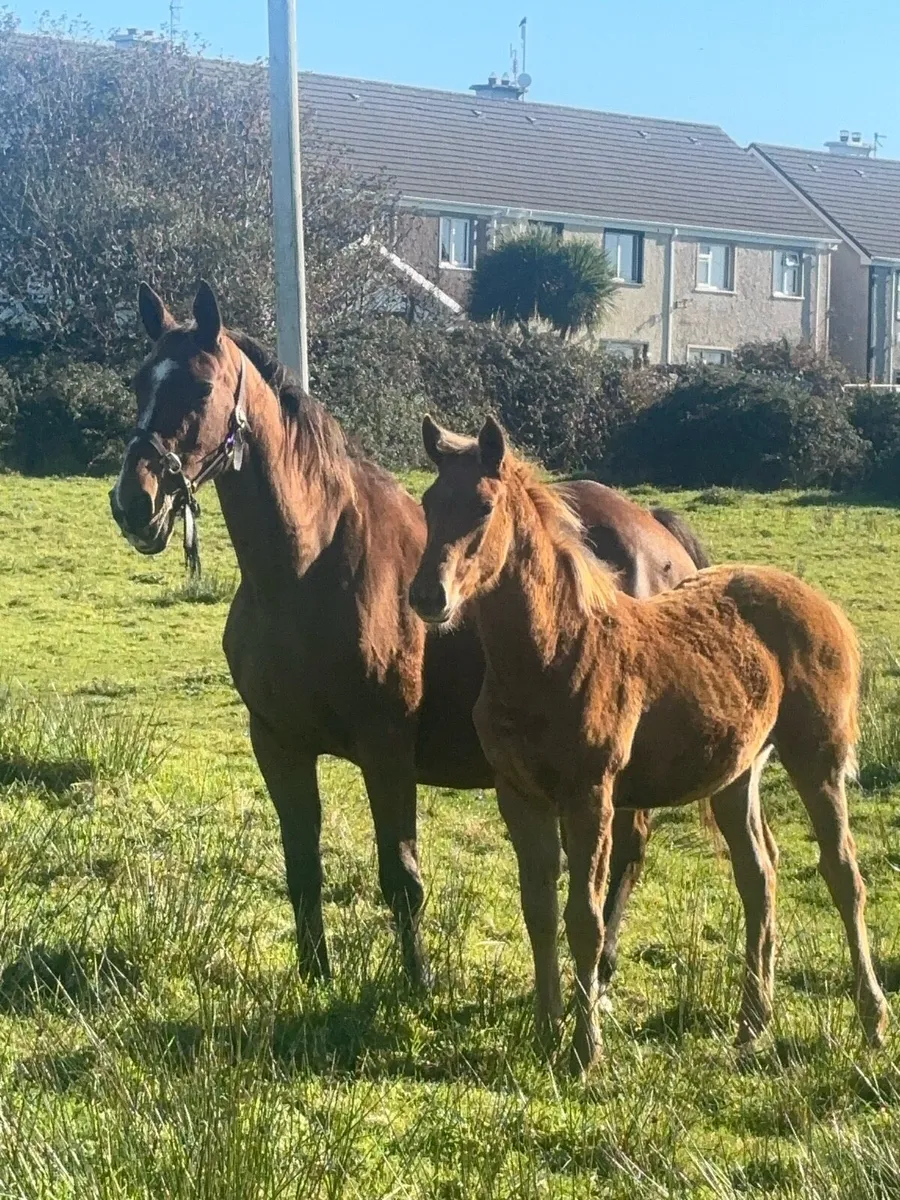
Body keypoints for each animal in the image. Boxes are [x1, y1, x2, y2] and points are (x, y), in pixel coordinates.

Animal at [109, 280, 710, 991]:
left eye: (201, 387)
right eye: (139, 380)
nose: (135, 502)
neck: (308, 571)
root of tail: (659, 534)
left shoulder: (387, 746)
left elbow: (401, 876)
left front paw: (418, 982)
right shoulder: (278, 744)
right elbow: (301, 864)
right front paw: (316, 975)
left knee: (629, 849)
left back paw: (605, 968)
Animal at [409, 414, 888, 1073]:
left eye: (483, 507)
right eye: (429, 503)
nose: (427, 597)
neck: (553, 652)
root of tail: (821, 604)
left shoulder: (591, 795)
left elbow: (583, 918)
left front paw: (585, 1050)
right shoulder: (519, 795)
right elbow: (538, 912)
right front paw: (545, 1032)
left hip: (817, 759)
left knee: (843, 874)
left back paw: (872, 1021)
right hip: (737, 774)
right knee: (758, 875)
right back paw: (751, 1025)